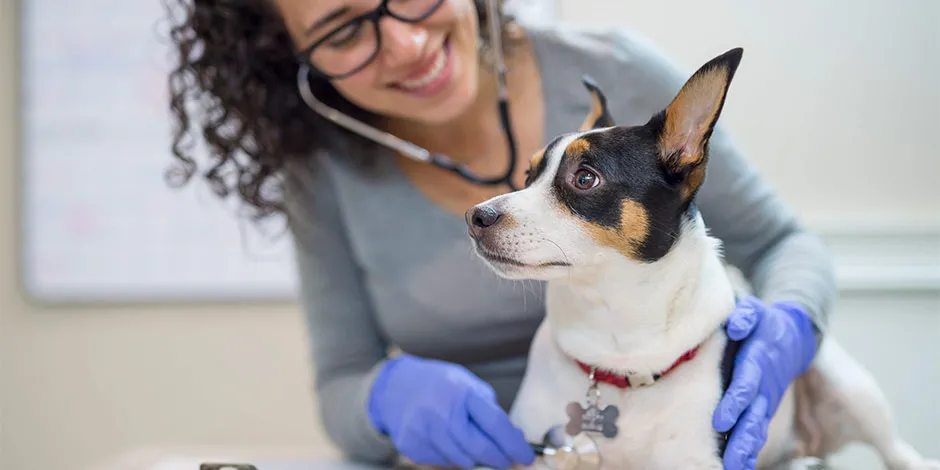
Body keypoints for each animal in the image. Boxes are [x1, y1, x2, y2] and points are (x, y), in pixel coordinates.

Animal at [464, 47, 940, 470]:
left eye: (584, 178)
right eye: (528, 175)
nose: (476, 217)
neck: (619, 356)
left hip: (844, 381)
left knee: (896, 451)